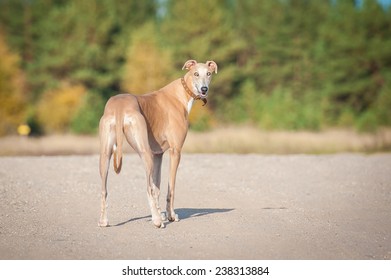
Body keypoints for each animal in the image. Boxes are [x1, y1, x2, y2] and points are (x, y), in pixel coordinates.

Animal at [99, 59, 219, 228]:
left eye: (208, 73)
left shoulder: (158, 155)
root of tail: (119, 107)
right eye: (196, 73)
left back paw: (104, 221)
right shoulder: (175, 151)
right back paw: (156, 221)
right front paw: (170, 215)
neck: (181, 94)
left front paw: (160, 212)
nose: (204, 89)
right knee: (147, 188)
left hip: (106, 155)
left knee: (104, 189)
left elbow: (157, 187)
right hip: (145, 153)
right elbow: (170, 187)